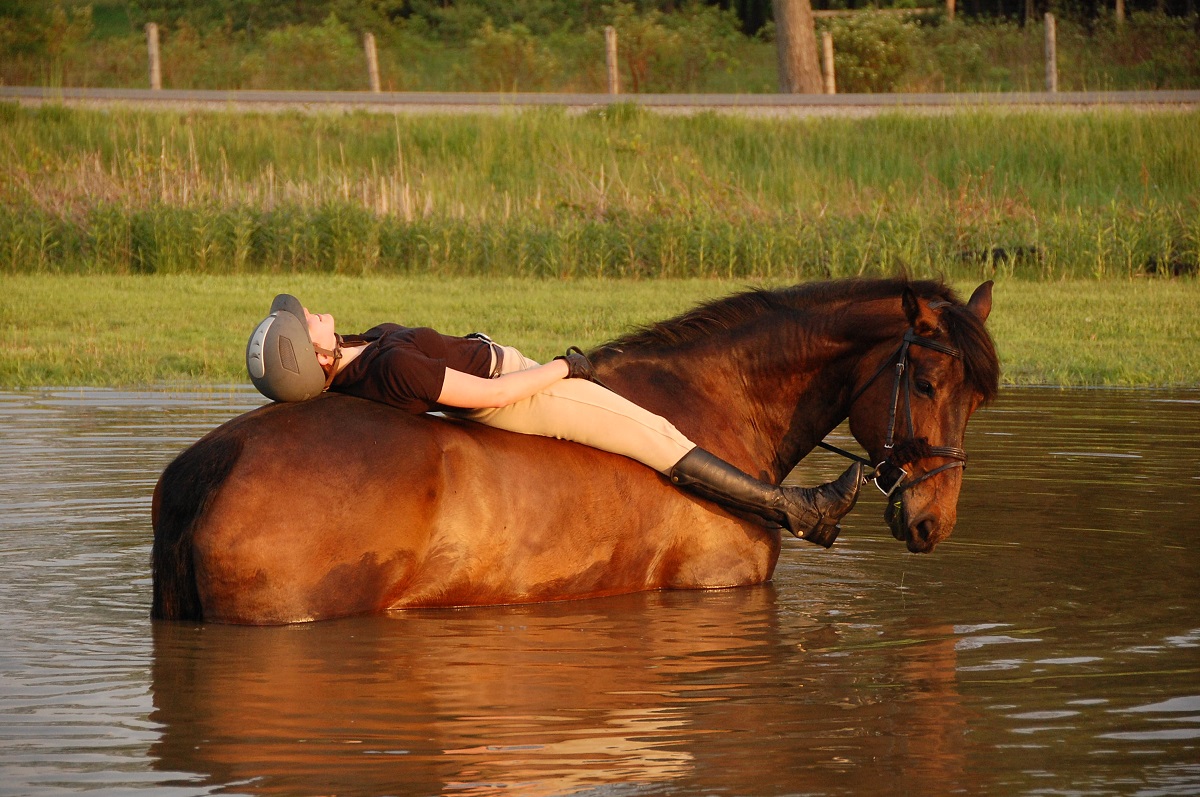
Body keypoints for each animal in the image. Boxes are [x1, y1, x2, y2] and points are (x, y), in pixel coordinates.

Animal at [151, 278, 998, 625]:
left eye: (978, 397)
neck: (717, 401)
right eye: (927, 382)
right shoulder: (716, 588)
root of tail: (208, 469)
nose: (934, 520)